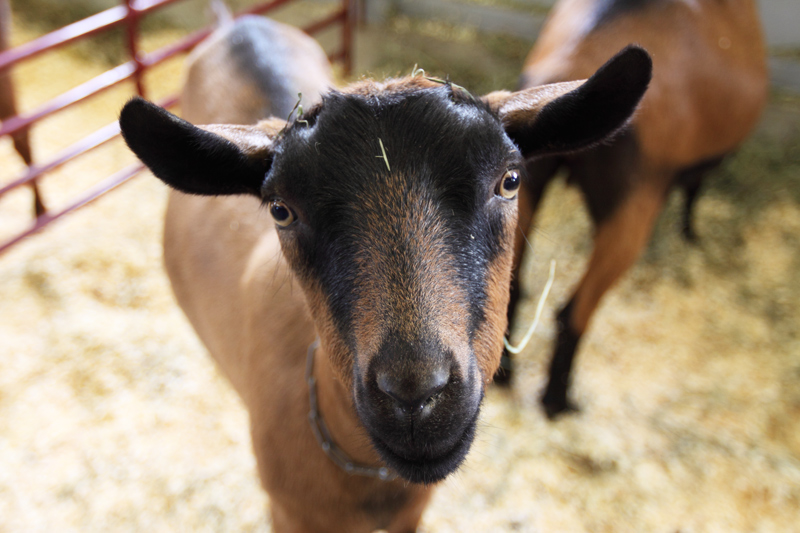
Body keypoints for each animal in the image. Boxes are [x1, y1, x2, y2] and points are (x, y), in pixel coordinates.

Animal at [499, 0, 768, 418]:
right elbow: (695, 189)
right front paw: (691, 233)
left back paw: (504, 377)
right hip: (634, 203)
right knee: (574, 311)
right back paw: (558, 401)